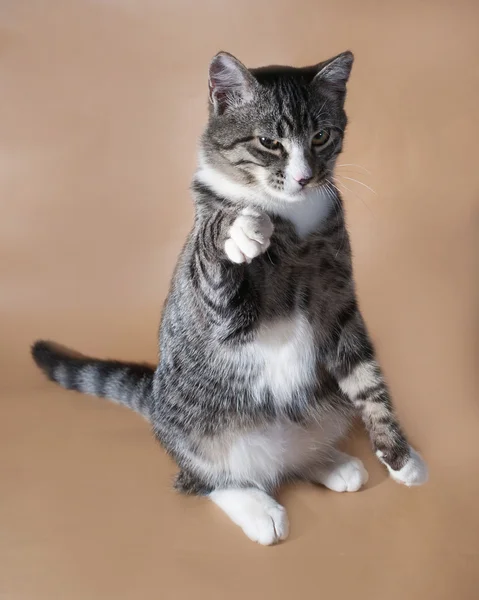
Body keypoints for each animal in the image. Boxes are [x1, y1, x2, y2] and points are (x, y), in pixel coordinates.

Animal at [31, 51, 428, 548]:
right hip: (199, 432)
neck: (292, 218)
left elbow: (366, 375)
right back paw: (258, 507)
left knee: (294, 452)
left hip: (325, 406)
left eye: (321, 136)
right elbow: (216, 242)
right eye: (269, 142)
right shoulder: (224, 308)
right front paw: (241, 228)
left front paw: (400, 453)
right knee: (204, 478)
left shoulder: (338, 302)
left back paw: (327, 462)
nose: (304, 177)